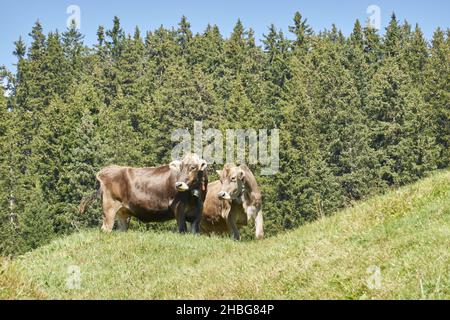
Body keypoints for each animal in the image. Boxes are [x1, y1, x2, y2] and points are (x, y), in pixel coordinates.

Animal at [78, 154, 207, 234]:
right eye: (180, 168)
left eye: (193, 167)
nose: (178, 184)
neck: (193, 198)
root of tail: (104, 171)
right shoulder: (178, 207)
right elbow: (182, 229)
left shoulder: (198, 211)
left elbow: (194, 231)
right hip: (109, 207)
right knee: (106, 228)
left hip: (123, 212)